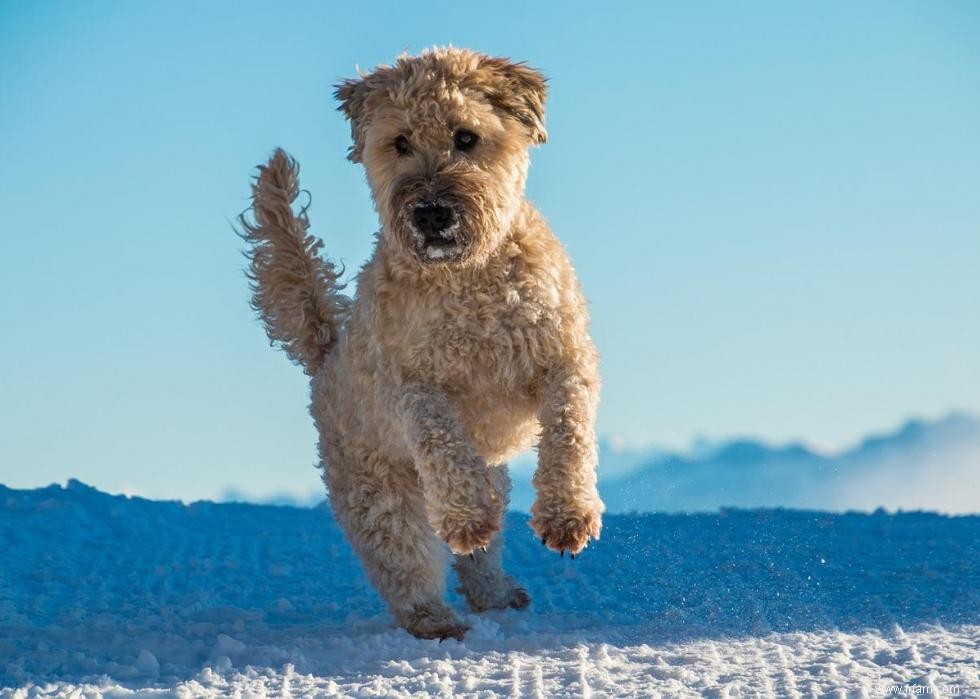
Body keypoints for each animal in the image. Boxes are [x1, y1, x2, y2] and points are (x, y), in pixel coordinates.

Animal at [239, 46, 604, 644]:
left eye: (465, 136)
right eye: (400, 142)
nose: (432, 213)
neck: (469, 279)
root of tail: (327, 355)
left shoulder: (565, 358)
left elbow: (569, 431)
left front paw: (566, 516)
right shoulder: (413, 385)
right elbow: (442, 440)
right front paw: (465, 518)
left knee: (481, 553)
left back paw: (496, 590)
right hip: (377, 489)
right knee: (405, 557)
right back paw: (437, 616)